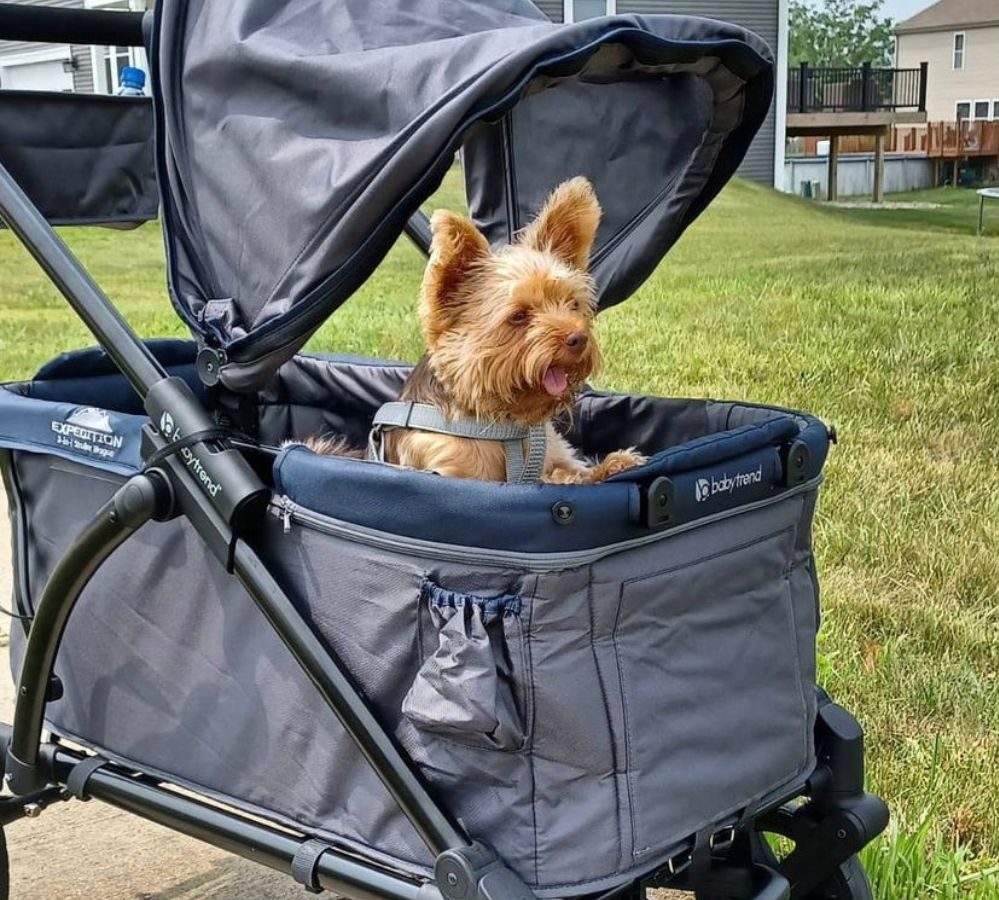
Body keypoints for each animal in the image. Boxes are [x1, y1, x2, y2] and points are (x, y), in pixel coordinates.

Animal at [304, 178, 644, 486]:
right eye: (519, 316)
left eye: (573, 305)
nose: (578, 338)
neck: (502, 424)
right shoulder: (450, 469)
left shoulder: (551, 450)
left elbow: (568, 469)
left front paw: (612, 465)